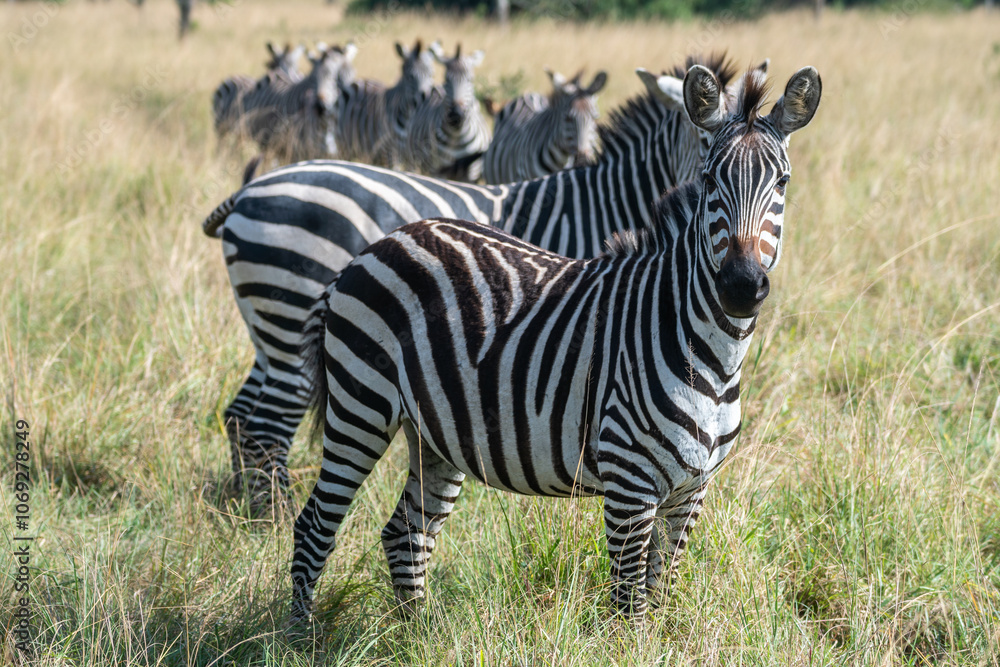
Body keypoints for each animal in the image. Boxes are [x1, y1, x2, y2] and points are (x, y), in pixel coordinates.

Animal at [288, 63, 823, 622]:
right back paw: (300, 635)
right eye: (710, 180)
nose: (741, 286)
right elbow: (630, 607)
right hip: (360, 407)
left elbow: (661, 596)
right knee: (315, 526)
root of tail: (376, 246)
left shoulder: (690, 493)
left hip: (433, 432)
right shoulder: (629, 484)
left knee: (405, 535)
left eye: (782, 182)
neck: (711, 359)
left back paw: (416, 633)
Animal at [332, 39, 438, 167]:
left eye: (431, 75)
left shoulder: (401, 152)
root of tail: (356, 82)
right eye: (410, 76)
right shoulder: (388, 152)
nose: (425, 96)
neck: (406, 116)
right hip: (343, 142)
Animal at [400, 43, 492, 182]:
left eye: (470, 79)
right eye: (446, 79)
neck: (456, 136)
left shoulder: (471, 174)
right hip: (413, 160)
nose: (456, 115)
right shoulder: (438, 171)